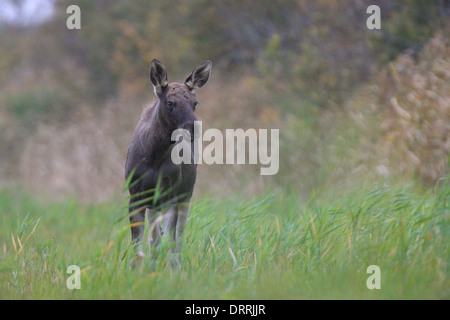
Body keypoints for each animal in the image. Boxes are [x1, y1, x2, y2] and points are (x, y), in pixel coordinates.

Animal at [125, 58, 213, 266]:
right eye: (170, 102)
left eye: (195, 102)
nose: (194, 127)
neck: (153, 156)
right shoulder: (135, 196)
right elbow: (139, 249)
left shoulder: (171, 196)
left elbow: (169, 242)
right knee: (155, 239)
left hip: (185, 195)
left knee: (176, 239)